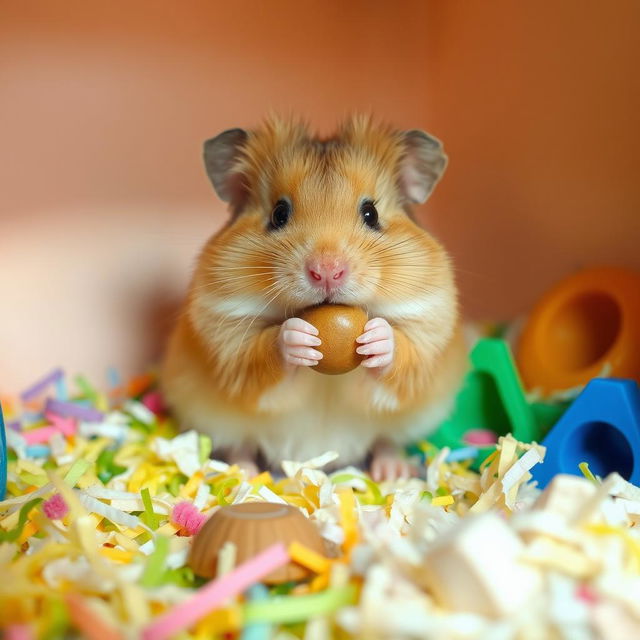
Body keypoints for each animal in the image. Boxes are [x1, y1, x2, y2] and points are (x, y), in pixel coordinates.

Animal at [162, 115, 468, 480]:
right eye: (279, 213)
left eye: (371, 213)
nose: (326, 272)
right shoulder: (226, 340)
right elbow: (260, 354)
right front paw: (298, 337)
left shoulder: (429, 327)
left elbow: (404, 354)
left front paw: (376, 337)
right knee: (241, 447)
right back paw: (243, 474)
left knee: (385, 441)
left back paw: (393, 472)